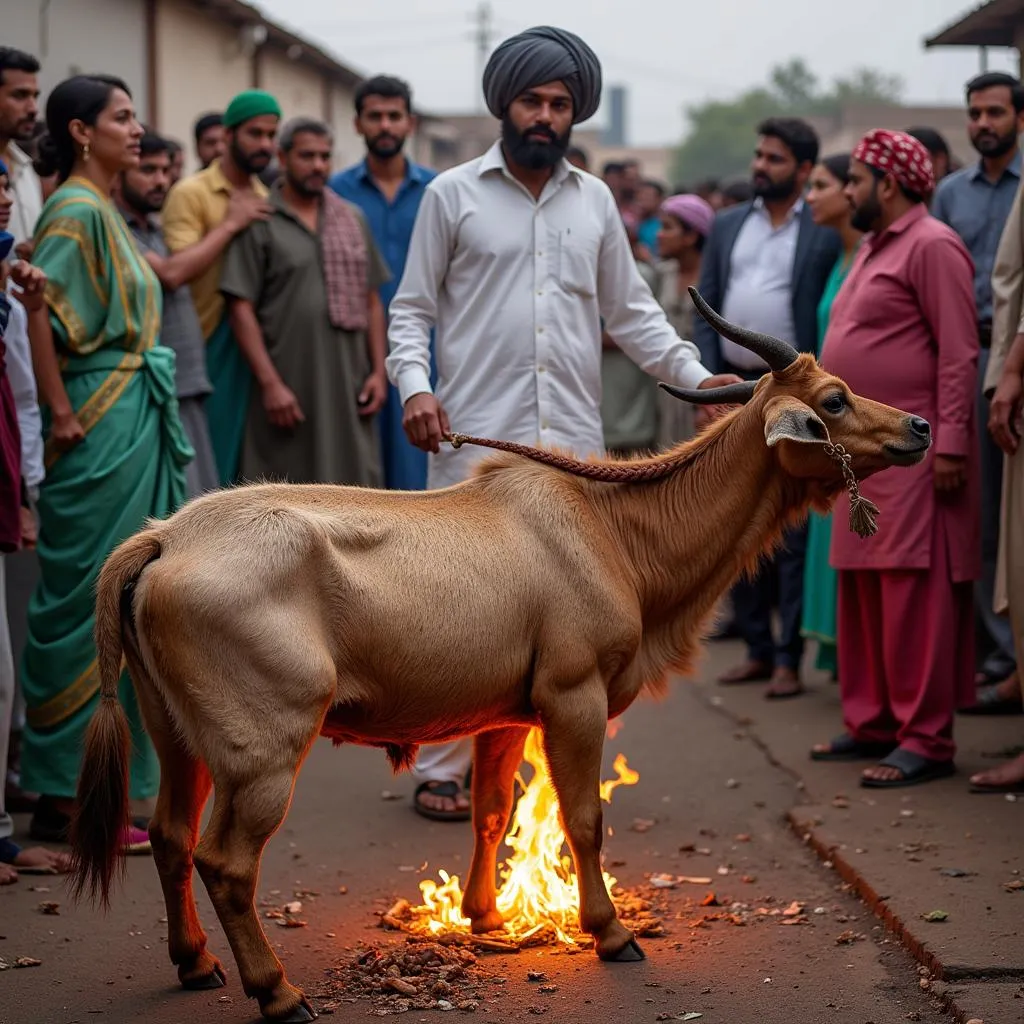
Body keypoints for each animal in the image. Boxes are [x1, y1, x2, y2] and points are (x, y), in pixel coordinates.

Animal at [68, 292, 933, 1019]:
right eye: (834, 400)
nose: (920, 428)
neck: (614, 528)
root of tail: (164, 537)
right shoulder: (574, 697)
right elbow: (584, 819)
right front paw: (610, 932)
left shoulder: (505, 714)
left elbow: (490, 813)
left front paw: (483, 917)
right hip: (264, 750)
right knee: (226, 862)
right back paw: (276, 991)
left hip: (177, 735)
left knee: (171, 837)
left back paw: (194, 962)